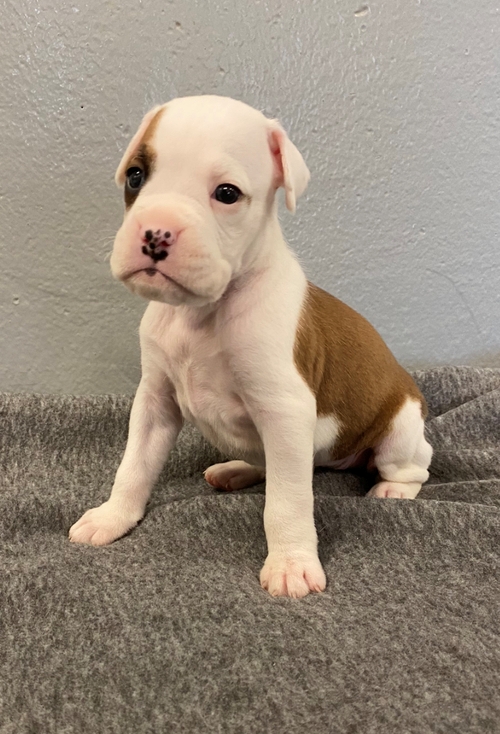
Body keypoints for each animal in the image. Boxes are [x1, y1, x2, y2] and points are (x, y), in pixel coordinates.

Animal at [68, 95, 432, 600]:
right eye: (137, 176)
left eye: (227, 193)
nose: (156, 233)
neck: (201, 313)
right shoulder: (155, 401)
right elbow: (134, 466)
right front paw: (112, 516)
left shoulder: (285, 410)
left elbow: (287, 501)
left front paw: (291, 562)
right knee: (270, 464)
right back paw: (237, 468)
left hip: (398, 429)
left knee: (414, 467)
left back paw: (393, 489)